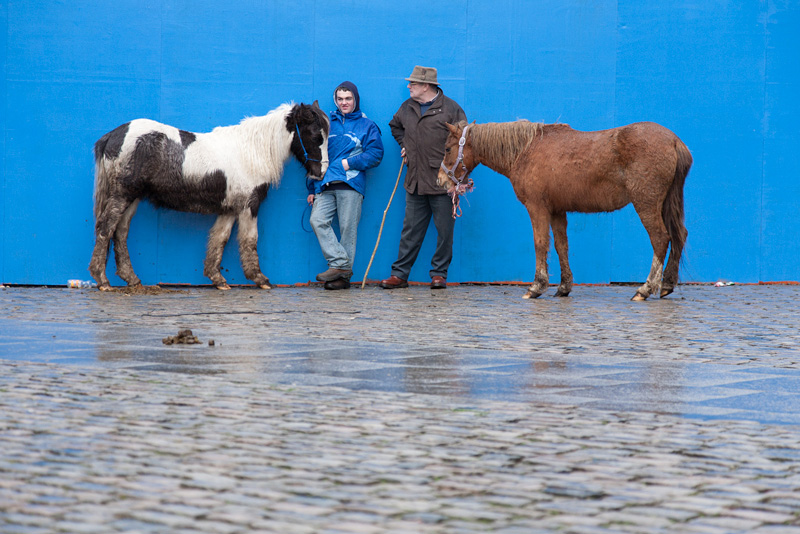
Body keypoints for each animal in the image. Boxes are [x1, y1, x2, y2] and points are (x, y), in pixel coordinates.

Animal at [440, 120, 692, 302]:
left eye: (447, 148)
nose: (441, 180)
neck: (525, 151)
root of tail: (674, 141)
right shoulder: (557, 211)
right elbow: (562, 246)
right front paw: (563, 287)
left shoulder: (538, 208)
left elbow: (540, 243)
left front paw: (536, 286)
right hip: (665, 204)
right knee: (679, 236)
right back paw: (667, 284)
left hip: (646, 204)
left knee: (660, 239)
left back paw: (645, 289)